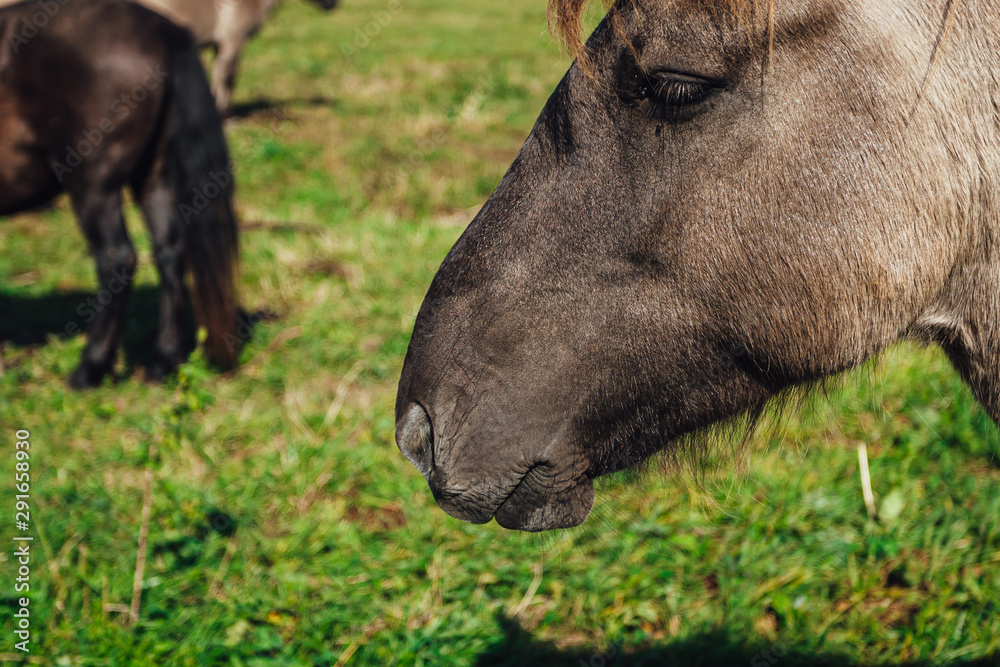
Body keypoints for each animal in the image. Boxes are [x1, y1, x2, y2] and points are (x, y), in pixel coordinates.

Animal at [0, 0, 239, 388]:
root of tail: (158, 27)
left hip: (93, 185)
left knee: (117, 259)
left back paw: (91, 367)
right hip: (153, 176)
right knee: (169, 251)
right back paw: (164, 360)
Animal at [135, 0, 340, 115]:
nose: (333, 5)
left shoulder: (220, 46)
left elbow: (220, 78)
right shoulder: (233, 42)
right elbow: (227, 78)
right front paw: (225, 115)